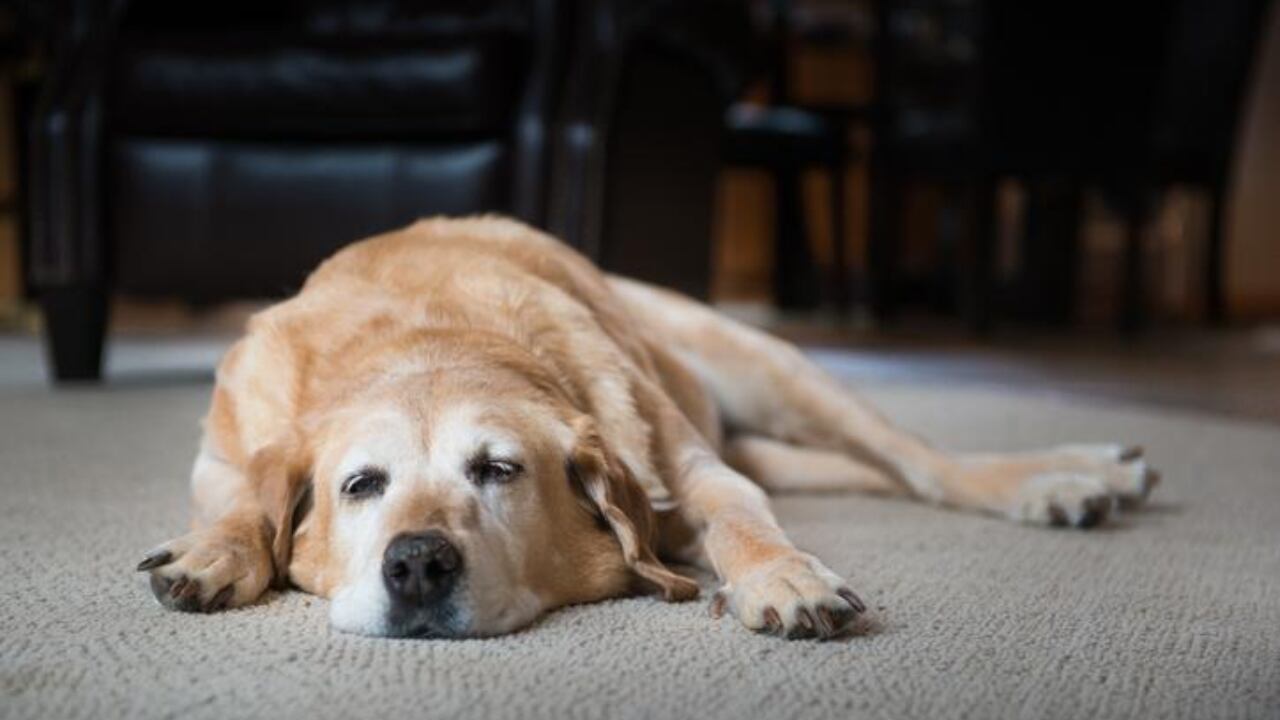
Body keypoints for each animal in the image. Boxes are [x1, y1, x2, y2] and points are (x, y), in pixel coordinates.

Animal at [137, 215, 1162, 635]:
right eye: (361, 486)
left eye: (498, 470)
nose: (418, 563)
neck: (428, 337)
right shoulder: (222, 458)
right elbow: (242, 505)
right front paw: (214, 554)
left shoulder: (695, 471)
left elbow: (741, 520)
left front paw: (783, 578)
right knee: (868, 473)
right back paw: (1098, 473)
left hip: (770, 368)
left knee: (919, 463)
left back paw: (1063, 479)